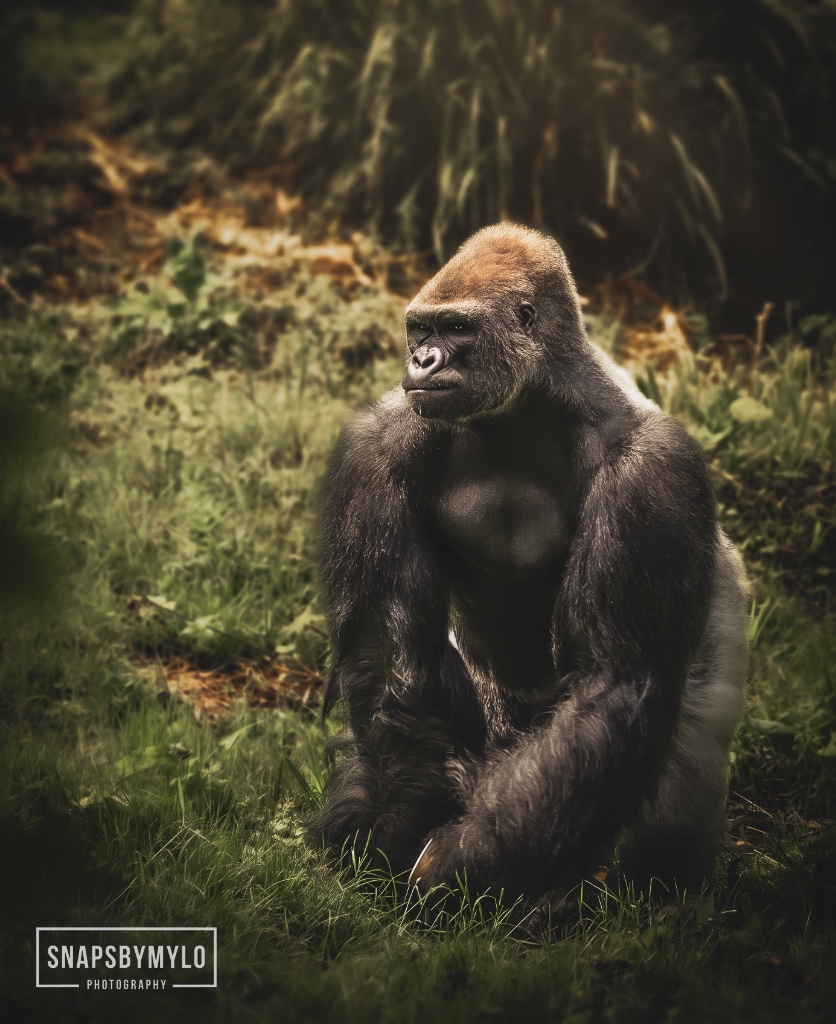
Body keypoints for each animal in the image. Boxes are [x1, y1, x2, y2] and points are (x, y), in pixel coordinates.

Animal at [310, 223, 748, 902]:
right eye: (420, 329)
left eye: (456, 329)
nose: (422, 361)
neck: (526, 408)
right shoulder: (373, 447)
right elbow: (387, 656)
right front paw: (395, 829)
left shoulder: (652, 470)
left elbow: (612, 680)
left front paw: (462, 861)